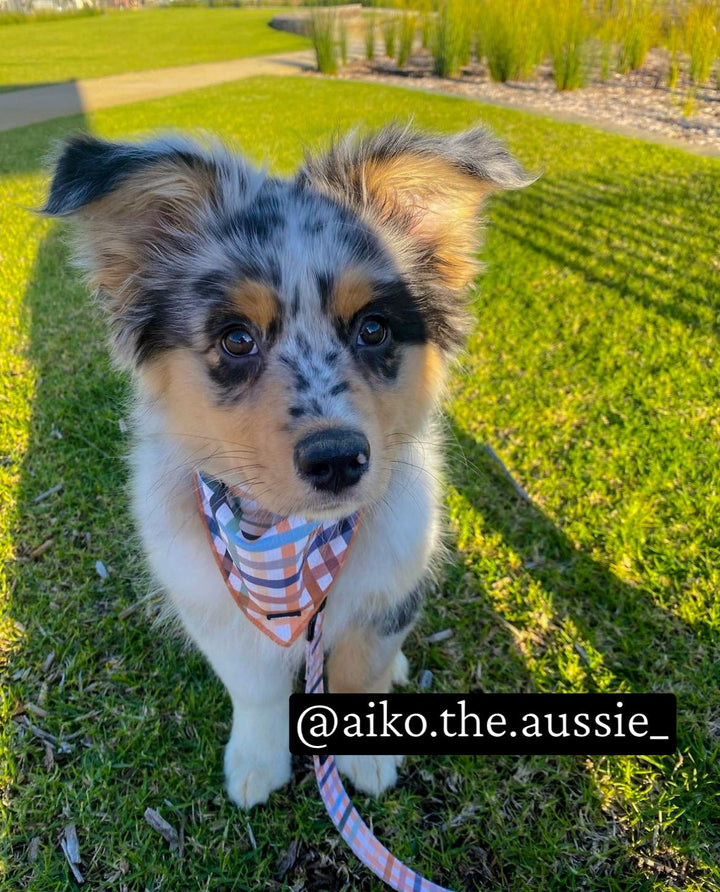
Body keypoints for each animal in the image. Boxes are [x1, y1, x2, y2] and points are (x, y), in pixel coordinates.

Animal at [43, 123, 528, 808]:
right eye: (236, 338)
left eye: (374, 329)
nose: (337, 459)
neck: (291, 543)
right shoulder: (213, 602)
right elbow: (254, 688)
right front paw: (255, 763)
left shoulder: (386, 593)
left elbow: (361, 674)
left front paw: (365, 760)